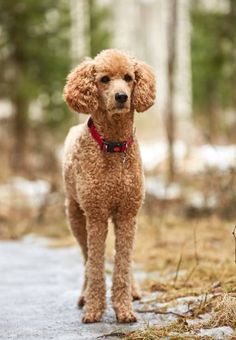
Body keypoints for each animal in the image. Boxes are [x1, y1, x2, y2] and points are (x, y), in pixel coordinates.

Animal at [61, 49, 156, 322]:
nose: (122, 97)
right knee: (86, 257)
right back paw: (83, 296)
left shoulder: (127, 213)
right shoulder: (96, 215)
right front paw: (94, 308)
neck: (114, 145)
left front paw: (124, 308)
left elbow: (123, 261)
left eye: (129, 78)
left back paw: (134, 291)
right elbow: (95, 263)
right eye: (104, 79)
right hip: (75, 215)